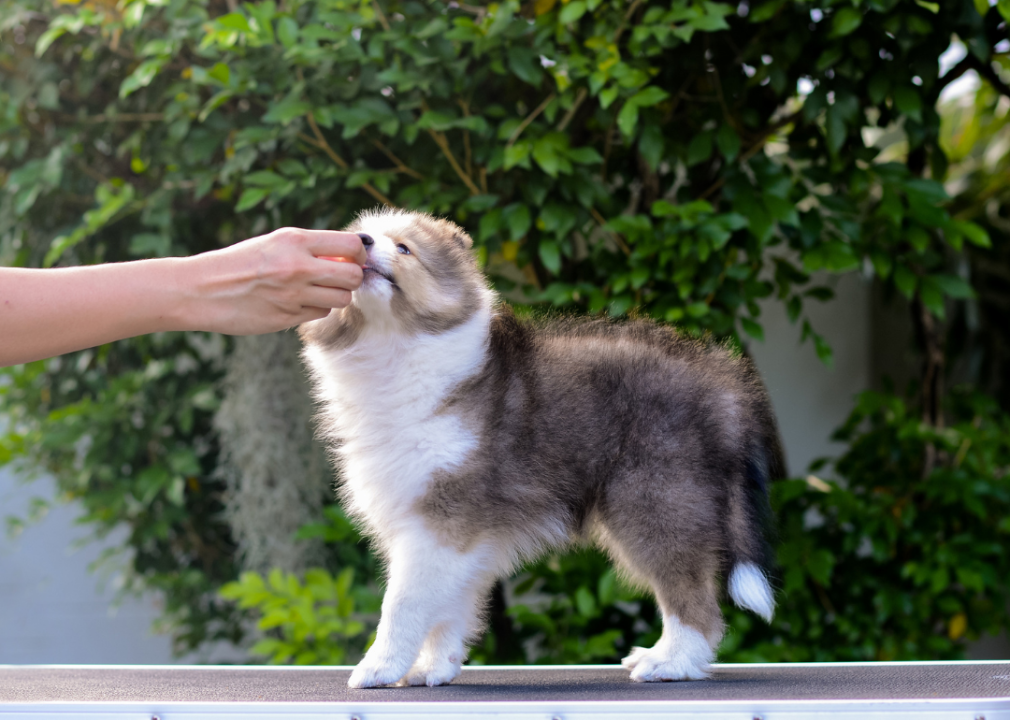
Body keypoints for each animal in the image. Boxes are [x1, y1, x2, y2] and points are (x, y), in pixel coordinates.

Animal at [299, 208, 781, 687]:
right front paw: (432, 668)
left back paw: (671, 663)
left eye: (403, 248)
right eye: (365, 234)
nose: (361, 241)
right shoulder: (454, 531)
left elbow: (403, 602)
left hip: (655, 499)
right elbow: (449, 606)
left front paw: (379, 667)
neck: (394, 347)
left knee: (694, 599)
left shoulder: (443, 515)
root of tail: (725, 391)